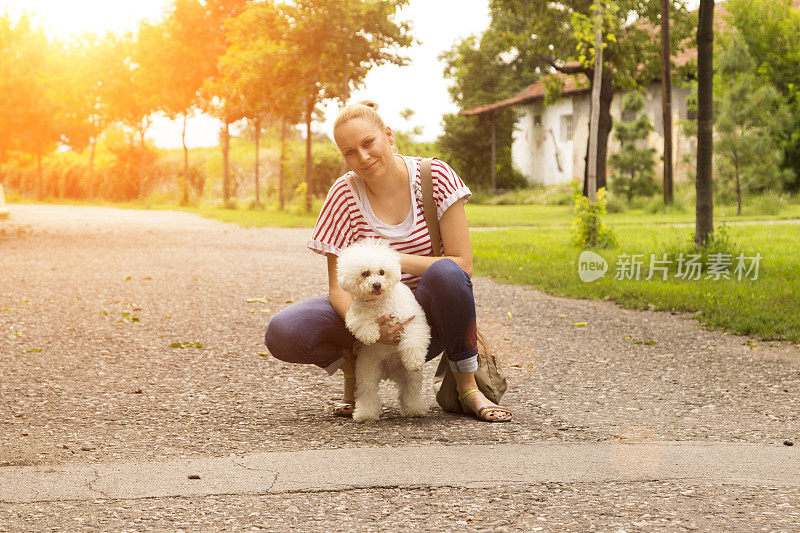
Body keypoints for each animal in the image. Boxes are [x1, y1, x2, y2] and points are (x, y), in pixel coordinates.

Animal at [334, 239, 428, 422]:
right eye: (365, 273)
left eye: (382, 272)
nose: (376, 285)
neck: (380, 302)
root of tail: (390, 372)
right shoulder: (355, 314)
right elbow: (362, 321)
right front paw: (371, 335)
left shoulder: (412, 320)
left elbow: (413, 340)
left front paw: (414, 359)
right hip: (367, 372)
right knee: (367, 394)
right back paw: (365, 413)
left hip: (410, 376)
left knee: (411, 391)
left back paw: (415, 409)